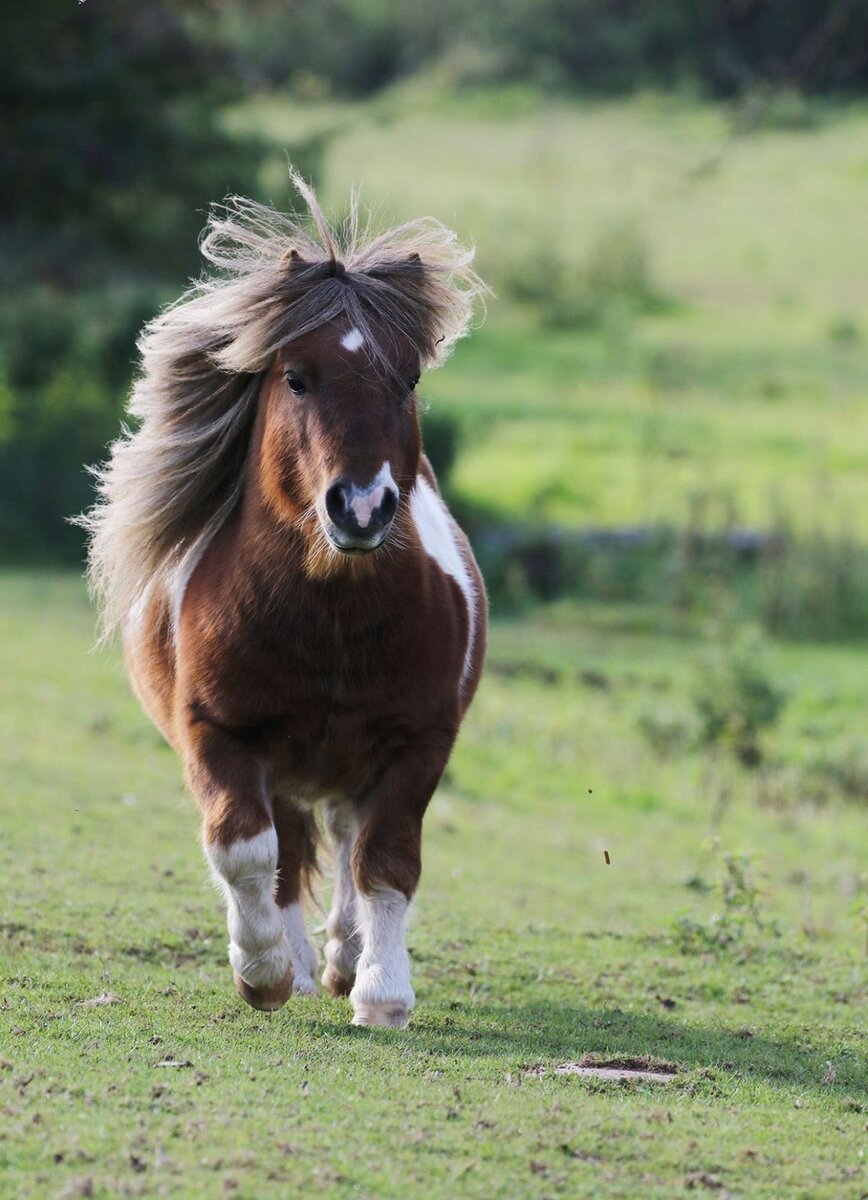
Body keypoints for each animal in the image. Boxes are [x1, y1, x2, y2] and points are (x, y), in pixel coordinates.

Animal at [80, 174, 489, 1027]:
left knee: (345, 843)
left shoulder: (419, 740)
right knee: (289, 849)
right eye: (296, 376)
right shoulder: (217, 735)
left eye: (409, 380)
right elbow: (246, 852)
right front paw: (263, 970)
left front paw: (381, 991)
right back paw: (300, 964)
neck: (330, 621)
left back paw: (342, 958)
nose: (360, 508)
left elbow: (385, 860)